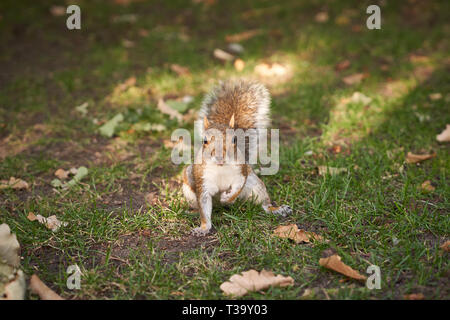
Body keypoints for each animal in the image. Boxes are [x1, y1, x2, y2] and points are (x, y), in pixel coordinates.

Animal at [182, 79, 292, 235]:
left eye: (234, 139)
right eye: (205, 141)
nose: (220, 157)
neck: (220, 168)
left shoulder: (241, 173)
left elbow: (237, 188)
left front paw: (228, 198)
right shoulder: (203, 182)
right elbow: (204, 208)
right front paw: (203, 228)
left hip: (256, 185)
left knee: (264, 203)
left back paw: (276, 209)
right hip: (189, 190)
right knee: (199, 206)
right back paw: (192, 211)